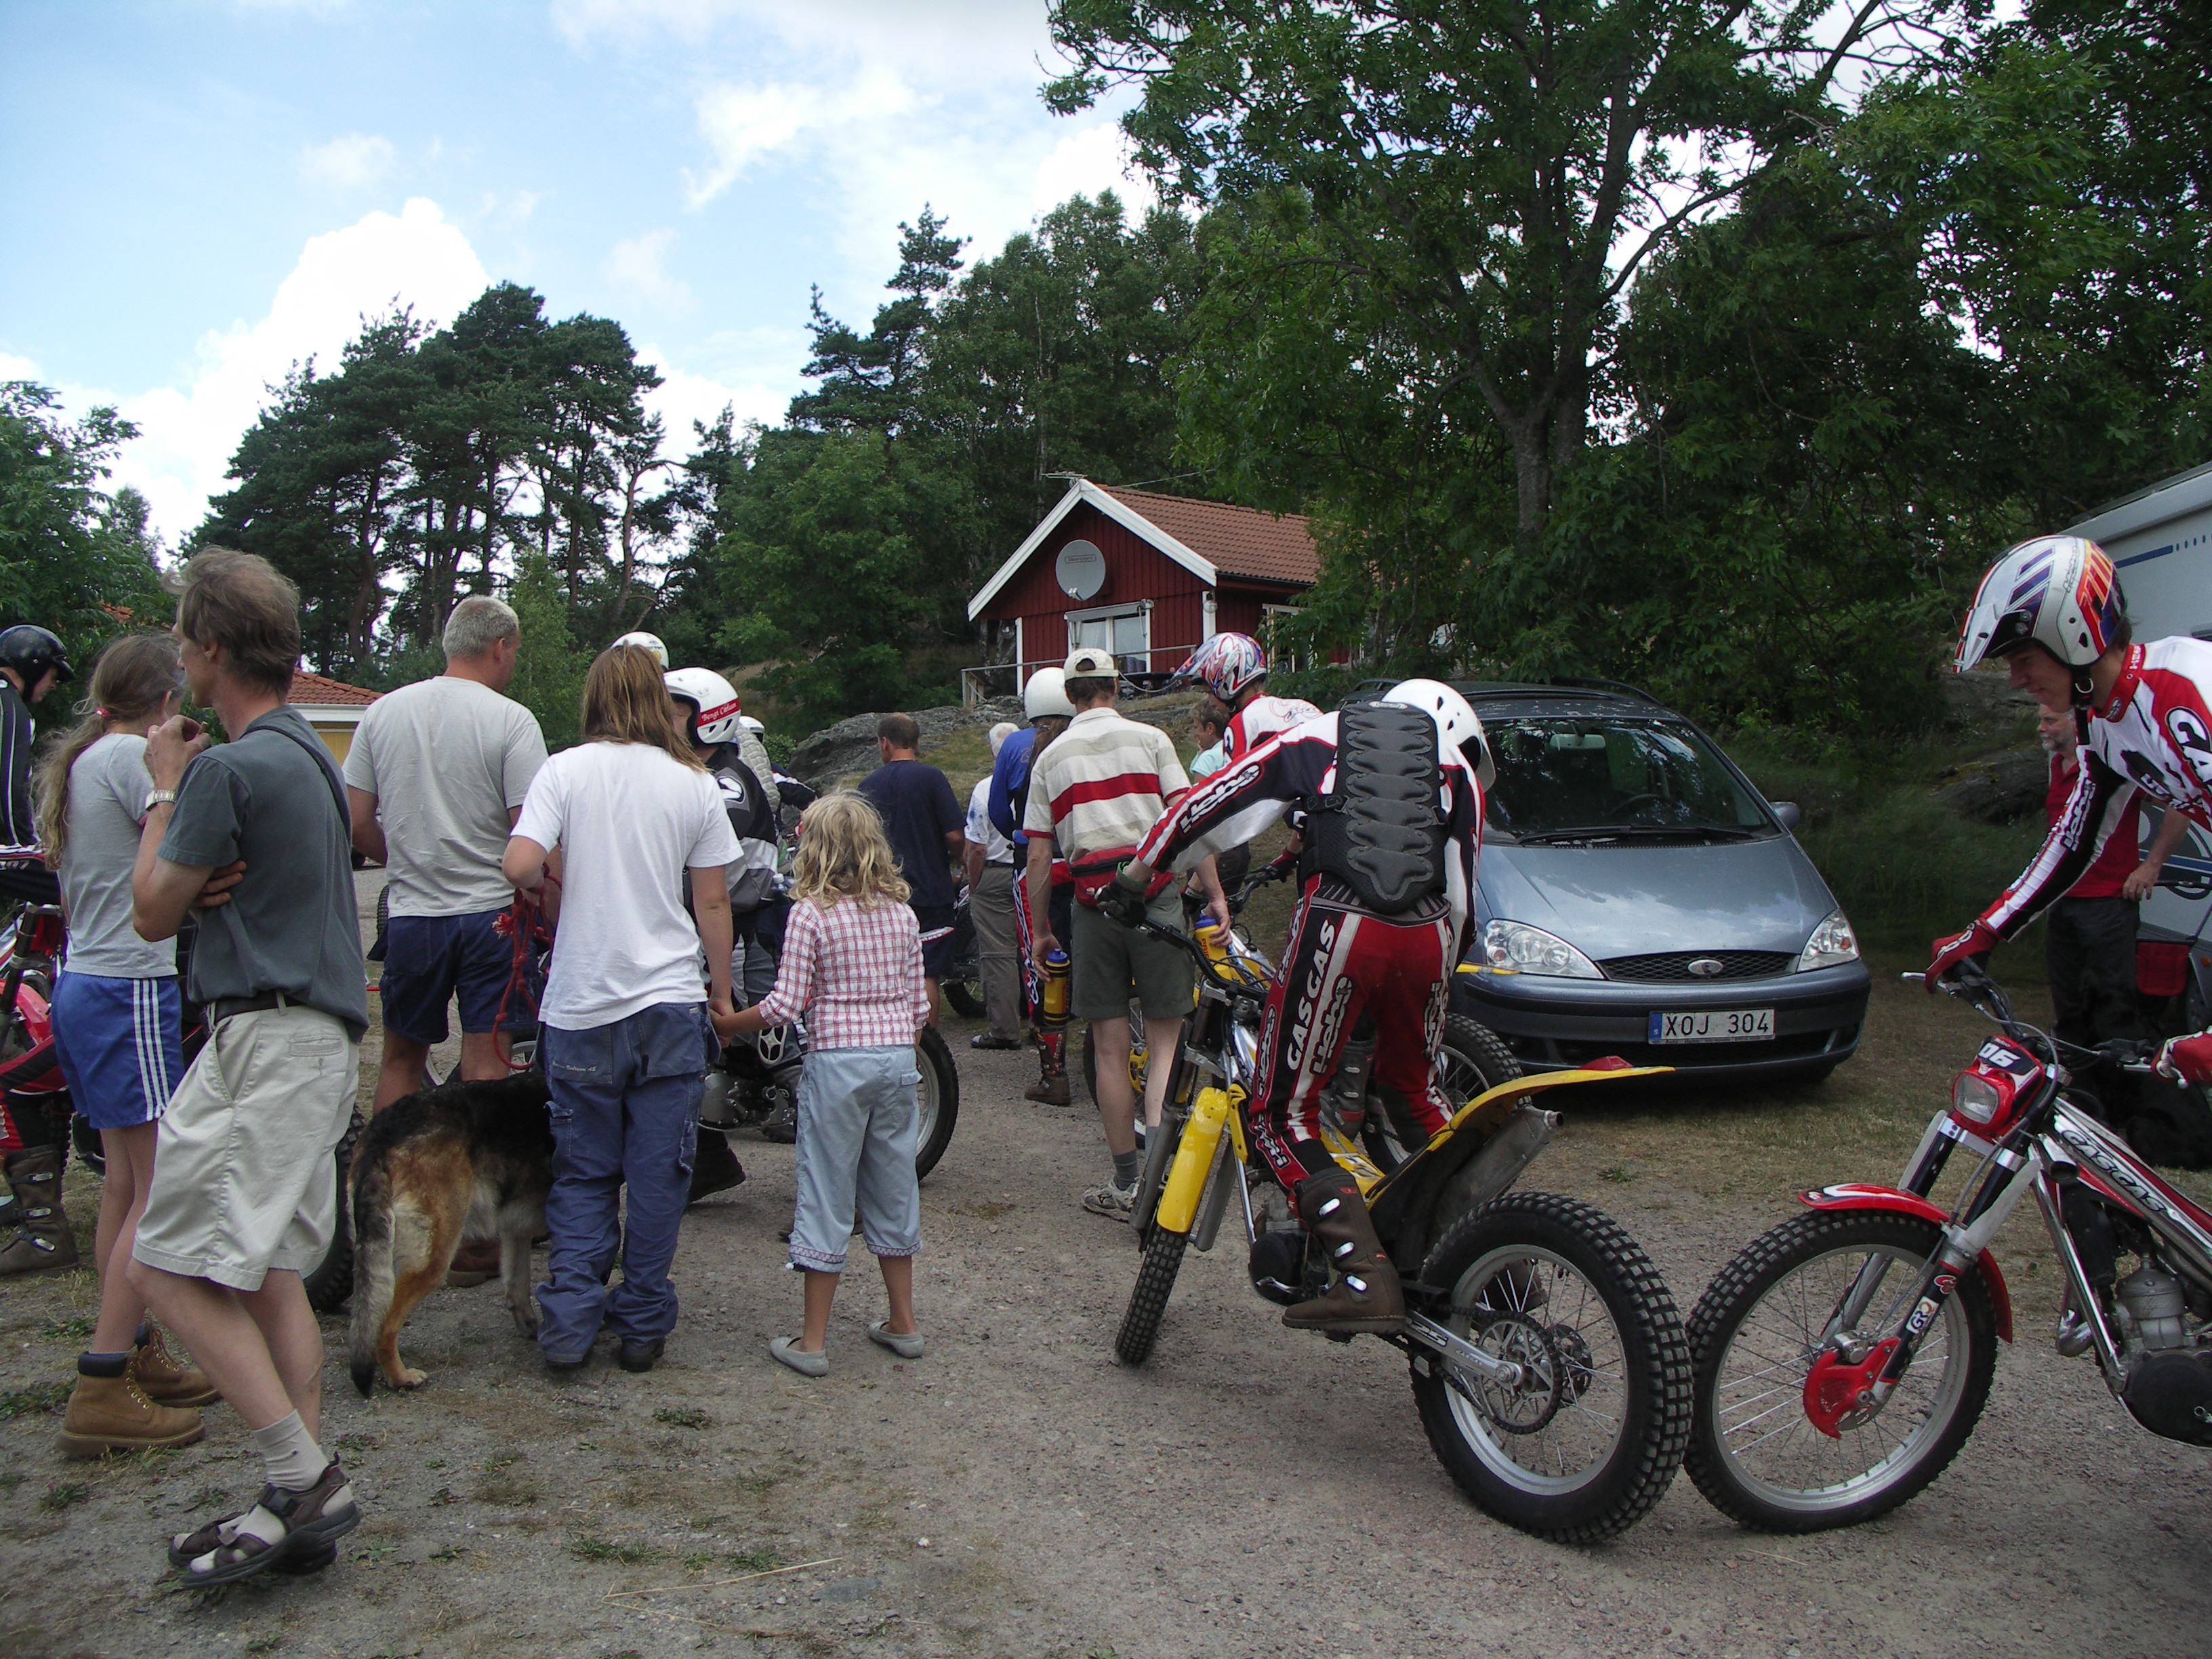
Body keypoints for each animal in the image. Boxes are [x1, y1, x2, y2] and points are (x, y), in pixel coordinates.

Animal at [348, 1073, 555, 1396]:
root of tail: (384, 1131)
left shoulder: (515, 1230)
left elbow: (516, 1283)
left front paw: (530, 1326)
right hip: (434, 1259)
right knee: (385, 1326)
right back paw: (400, 1377)